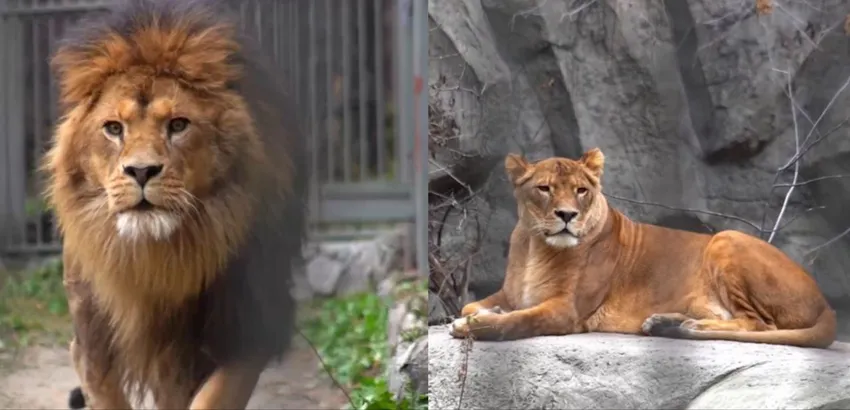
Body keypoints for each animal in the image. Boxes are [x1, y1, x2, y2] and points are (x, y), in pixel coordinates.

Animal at [43, 0, 306, 408]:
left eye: (178, 125)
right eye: (114, 128)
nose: (141, 170)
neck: (156, 259)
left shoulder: (249, 331)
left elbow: (210, 398)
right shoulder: (91, 345)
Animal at [450, 149, 837, 349]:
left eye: (581, 191)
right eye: (544, 188)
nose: (567, 215)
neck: (535, 246)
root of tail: (826, 303)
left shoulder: (568, 311)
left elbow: (519, 321)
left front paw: (476, 326)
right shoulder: (510, 293)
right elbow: (472, 303)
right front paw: (483, 313)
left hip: (726, 237)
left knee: (760, 325)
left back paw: (686, 327)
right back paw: (665, 323)